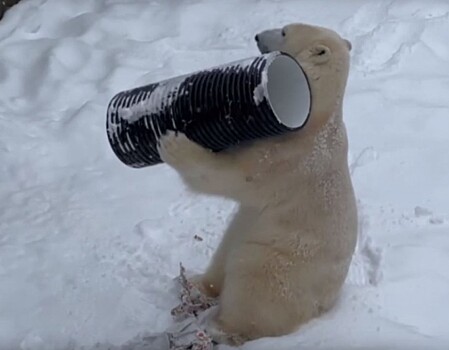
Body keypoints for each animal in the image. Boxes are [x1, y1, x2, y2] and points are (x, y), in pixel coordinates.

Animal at [158, 23, 356, 346]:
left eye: (285, 31)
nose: (257, 36)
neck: (317, 118)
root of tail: (322, 307)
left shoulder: (285, 155)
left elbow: (231, 176)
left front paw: (173, 142)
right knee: (225, 251)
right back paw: (193, 284)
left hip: (281, 261)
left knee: (250, 280)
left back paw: (219, 327)